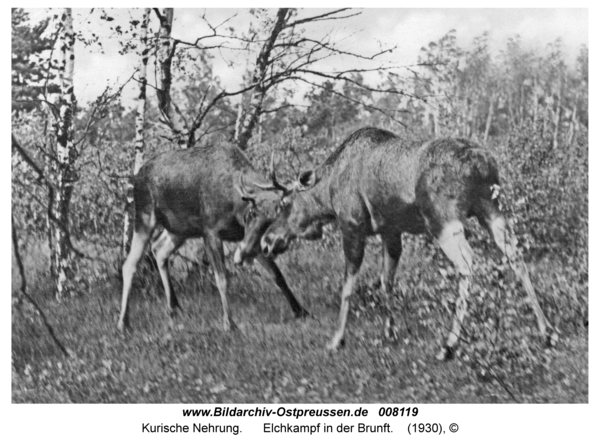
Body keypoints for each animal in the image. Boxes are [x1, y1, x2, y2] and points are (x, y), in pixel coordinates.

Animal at [116, 142, 310, 332]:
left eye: (273, 219)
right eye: (252, 213)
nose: (242, 255)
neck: (235, 209)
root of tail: (136, 178)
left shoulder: (249, 241)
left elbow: (277, 275)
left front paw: (301, 310)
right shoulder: (211, 232)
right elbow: (222, 279)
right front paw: (228, 322)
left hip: (179, 229)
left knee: (159, 249)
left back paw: (174, 308)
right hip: (145, 217)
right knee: (129, 264)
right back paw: (123, 322)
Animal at [255, 126, 556, 360]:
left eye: (283, 203)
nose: (267, 242)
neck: (327, 194)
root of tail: (483, 164)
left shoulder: (352, 226)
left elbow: (348, 286)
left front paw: (336, 339)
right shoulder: (391, 231)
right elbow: (386, 281)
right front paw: (390, 331)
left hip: (443, 218)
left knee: (468, 263)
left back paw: (448, 345)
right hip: (490, 208)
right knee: (515, 253)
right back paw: (547, 332)